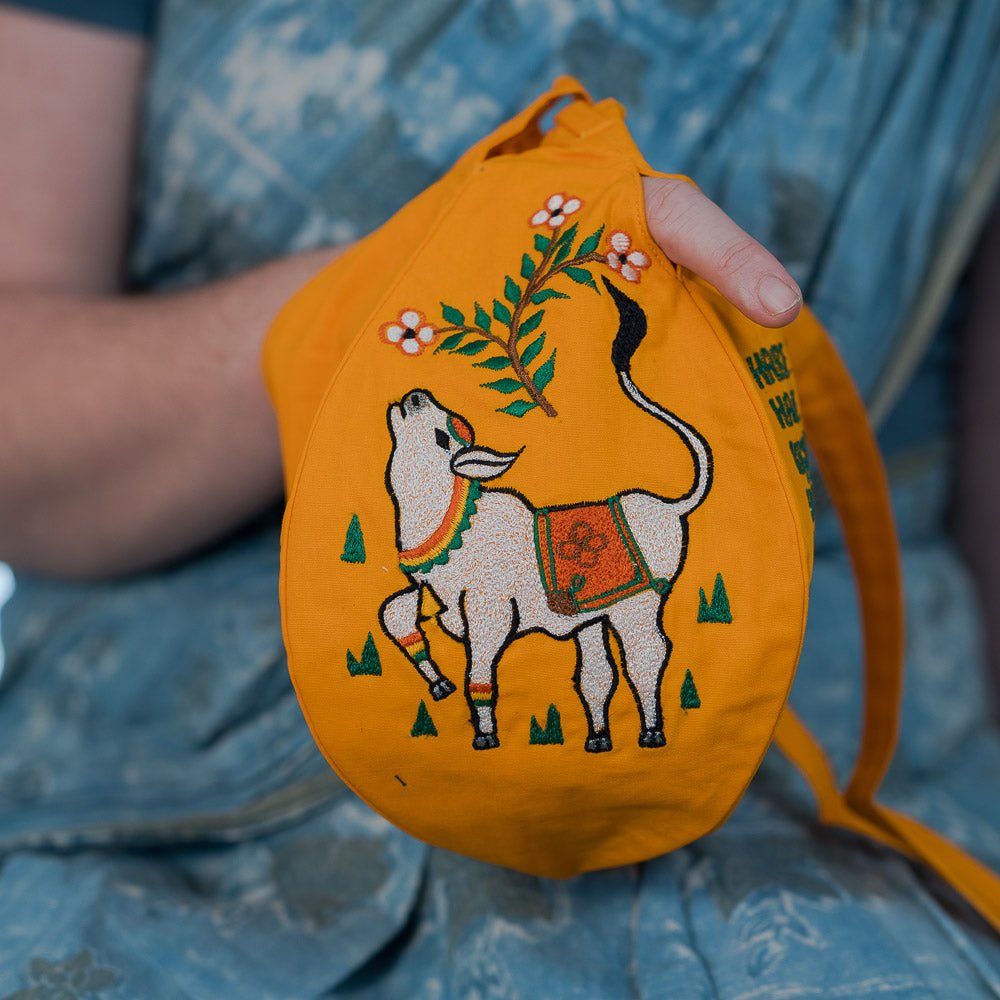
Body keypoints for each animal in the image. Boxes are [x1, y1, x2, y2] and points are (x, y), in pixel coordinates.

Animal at [376, 282, 712, 752]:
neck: (451, 524)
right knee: (597, 673)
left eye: (443, 437)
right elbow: (395, 612)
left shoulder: (490, 609)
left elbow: (479, 675)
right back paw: (598, 738)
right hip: (593, 615)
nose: (416, 395)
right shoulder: (439, 599)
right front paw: (438, 683)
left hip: (638, 604)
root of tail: (668, 505)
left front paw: (485, 735)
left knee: (646, 656)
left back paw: (651, 731)